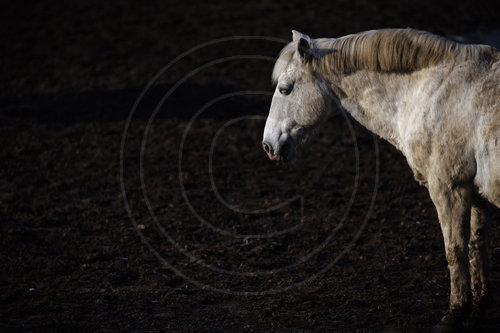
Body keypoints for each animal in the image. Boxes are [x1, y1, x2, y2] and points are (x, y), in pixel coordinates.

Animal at [264, 29, 498, 332]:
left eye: (285, 89)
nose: (268, 145)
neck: (434, 90)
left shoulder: (449, 189)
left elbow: (455, 250)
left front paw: (454, 314)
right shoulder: (475, 194)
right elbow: (476, 247)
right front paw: (477, 310)